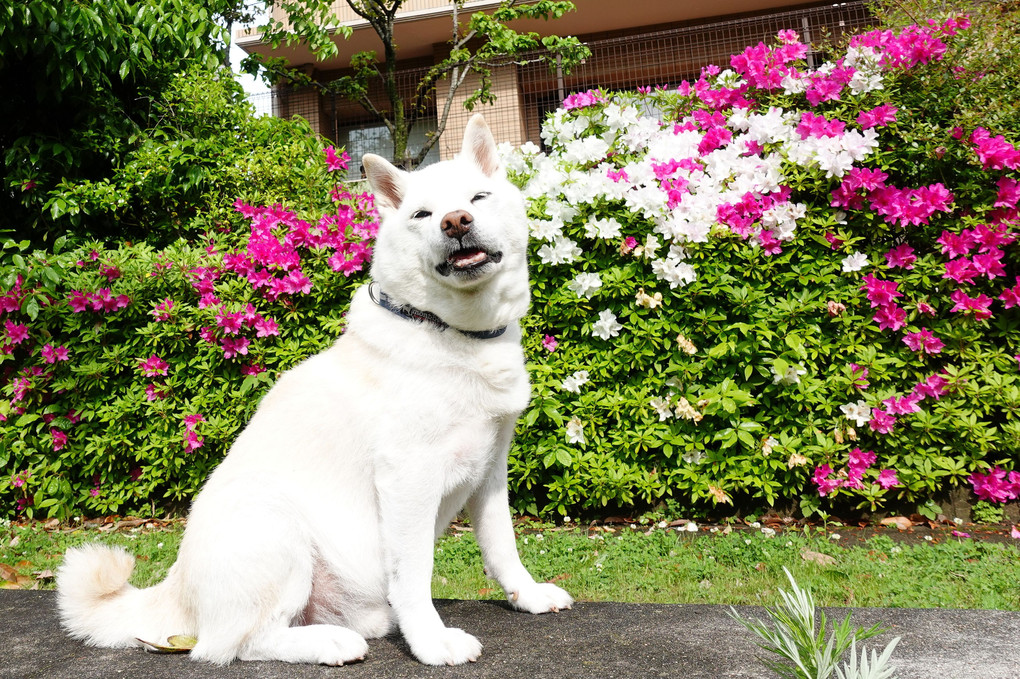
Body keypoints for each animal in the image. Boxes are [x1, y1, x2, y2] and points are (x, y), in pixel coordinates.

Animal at [57, 113, 575, 664]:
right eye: (422, 214)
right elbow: (414, 574)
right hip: (276, 526)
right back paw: (327, 642)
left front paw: (528, 595)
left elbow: (502, 546)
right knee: (233, 644)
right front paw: (432, 642)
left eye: (477, 197)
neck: (454, 332)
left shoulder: (490, 470)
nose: (455, 221)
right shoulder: (408, 478)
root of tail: (177, 591)